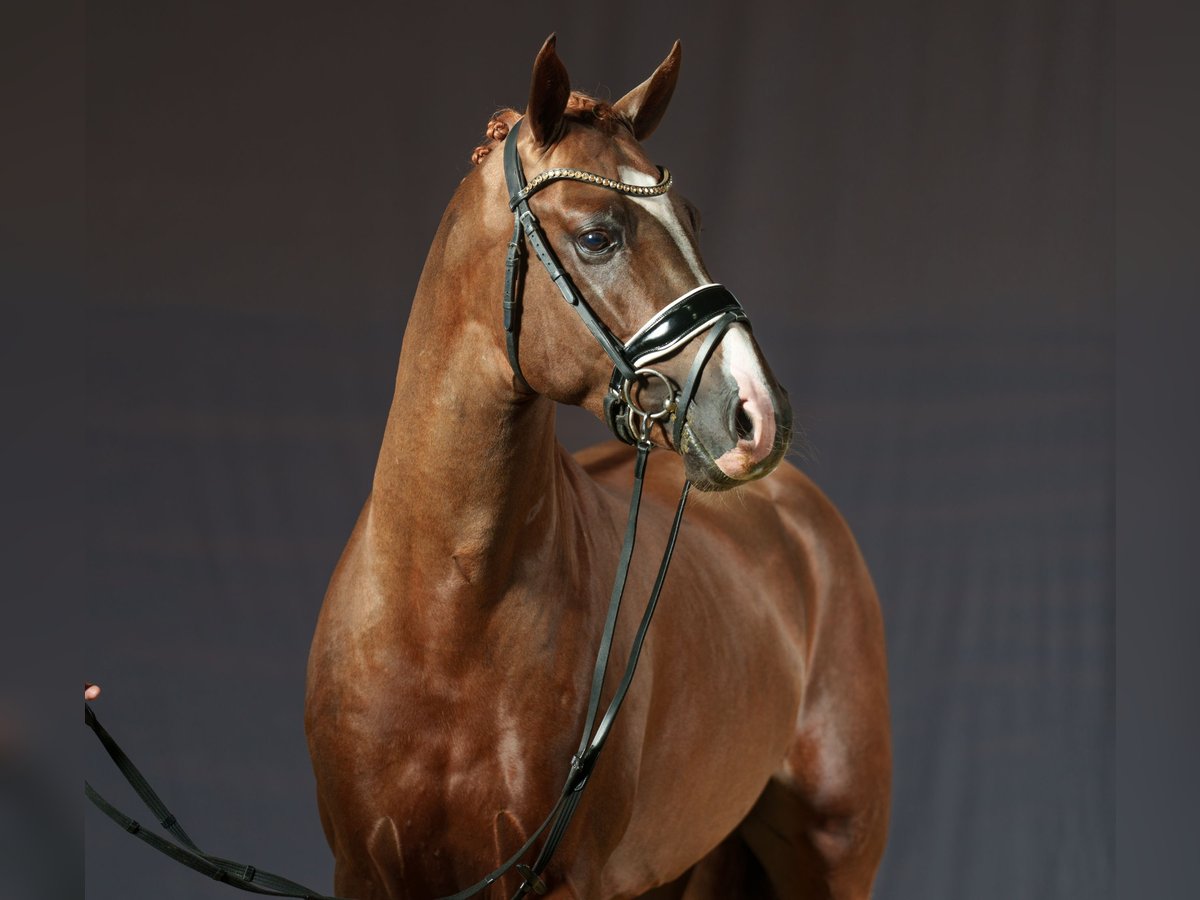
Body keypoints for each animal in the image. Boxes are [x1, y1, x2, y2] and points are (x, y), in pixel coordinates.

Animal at [307, 35, 892, 900]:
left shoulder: (565, 879)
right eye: (596, 237)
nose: (758, 414)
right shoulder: (363, 873)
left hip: (831, 858)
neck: (443, 617)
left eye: (691, 220)